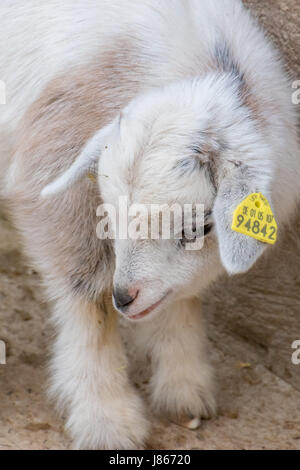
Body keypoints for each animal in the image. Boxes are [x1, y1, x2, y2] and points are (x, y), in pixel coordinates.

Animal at [0, 0, 300, 448]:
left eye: (198, 228)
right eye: (108, 214)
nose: (125, 298)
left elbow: (178, 295)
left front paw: (184, 386)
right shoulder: (52, 183)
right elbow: (88, 299)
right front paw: (107, 418)